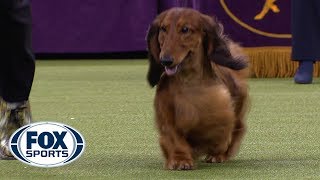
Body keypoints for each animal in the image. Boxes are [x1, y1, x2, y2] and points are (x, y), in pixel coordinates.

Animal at [146, 7, 249, 170]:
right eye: (163, 29)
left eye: (185, 29)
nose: (165, 60)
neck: (189, 81)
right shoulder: (166, 115)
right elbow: (174, 137)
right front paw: (180, 159)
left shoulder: (221, 109)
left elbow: (219, 130)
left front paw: (215, 149)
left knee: (237, 129)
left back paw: (218, 154)